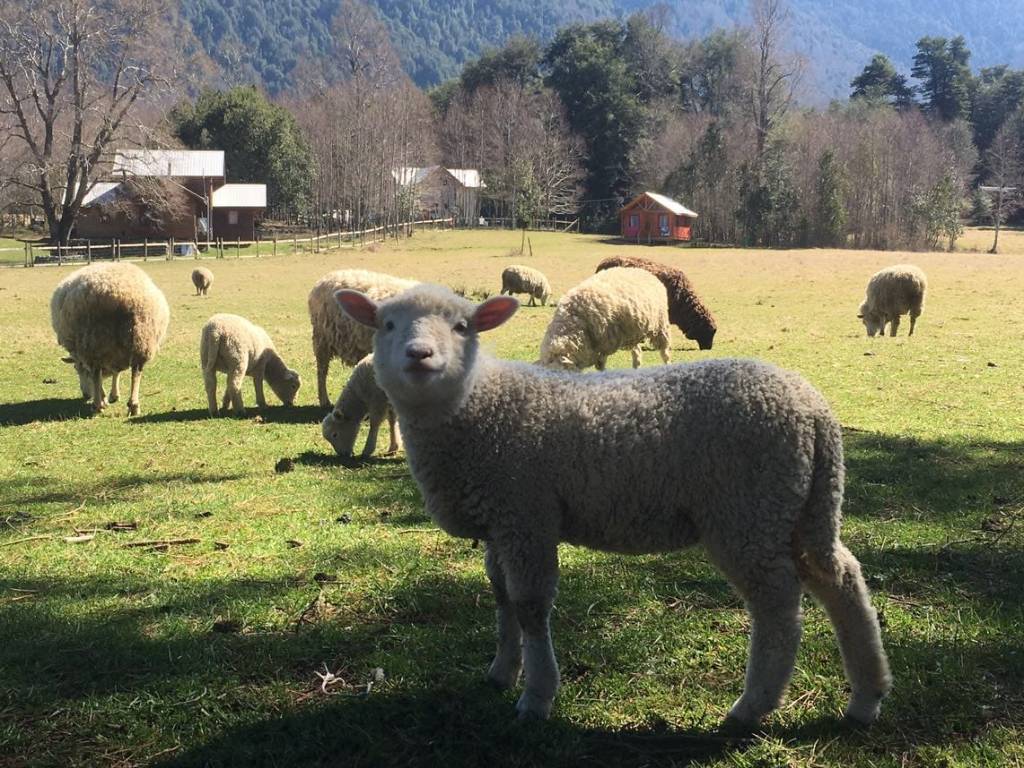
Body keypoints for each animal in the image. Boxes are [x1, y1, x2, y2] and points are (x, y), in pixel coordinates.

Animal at [50, 262, 170, 416]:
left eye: (77, 369)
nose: (85, 395)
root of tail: (122, 295)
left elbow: (97, 375)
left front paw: (104, 398)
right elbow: (116, 372)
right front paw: (114, 395)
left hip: (93, 340)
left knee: (96, 372)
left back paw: (97, 405)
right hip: (142, 339)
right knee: (136, 372)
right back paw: (134, 405)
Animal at [334, 284, 891, 727]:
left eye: (462, 326)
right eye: (386, 324)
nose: (420, 354)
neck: (476, 406)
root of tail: (814, 411)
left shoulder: (527, 515)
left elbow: (530, 606)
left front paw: (537, 696)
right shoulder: (502, 521)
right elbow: (502, 598)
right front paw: (501, 671)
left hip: (747, 510)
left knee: (778, 606)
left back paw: (751, 707)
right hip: (797, 505)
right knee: (840, 578)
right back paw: (865, 699)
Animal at [539, 267, 671, 370]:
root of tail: (643, 271)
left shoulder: (604, 345)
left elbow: (601, 366)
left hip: (660, 326)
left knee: (665, 352)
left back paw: (667, 365)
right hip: (635, 333)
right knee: (637, 352)